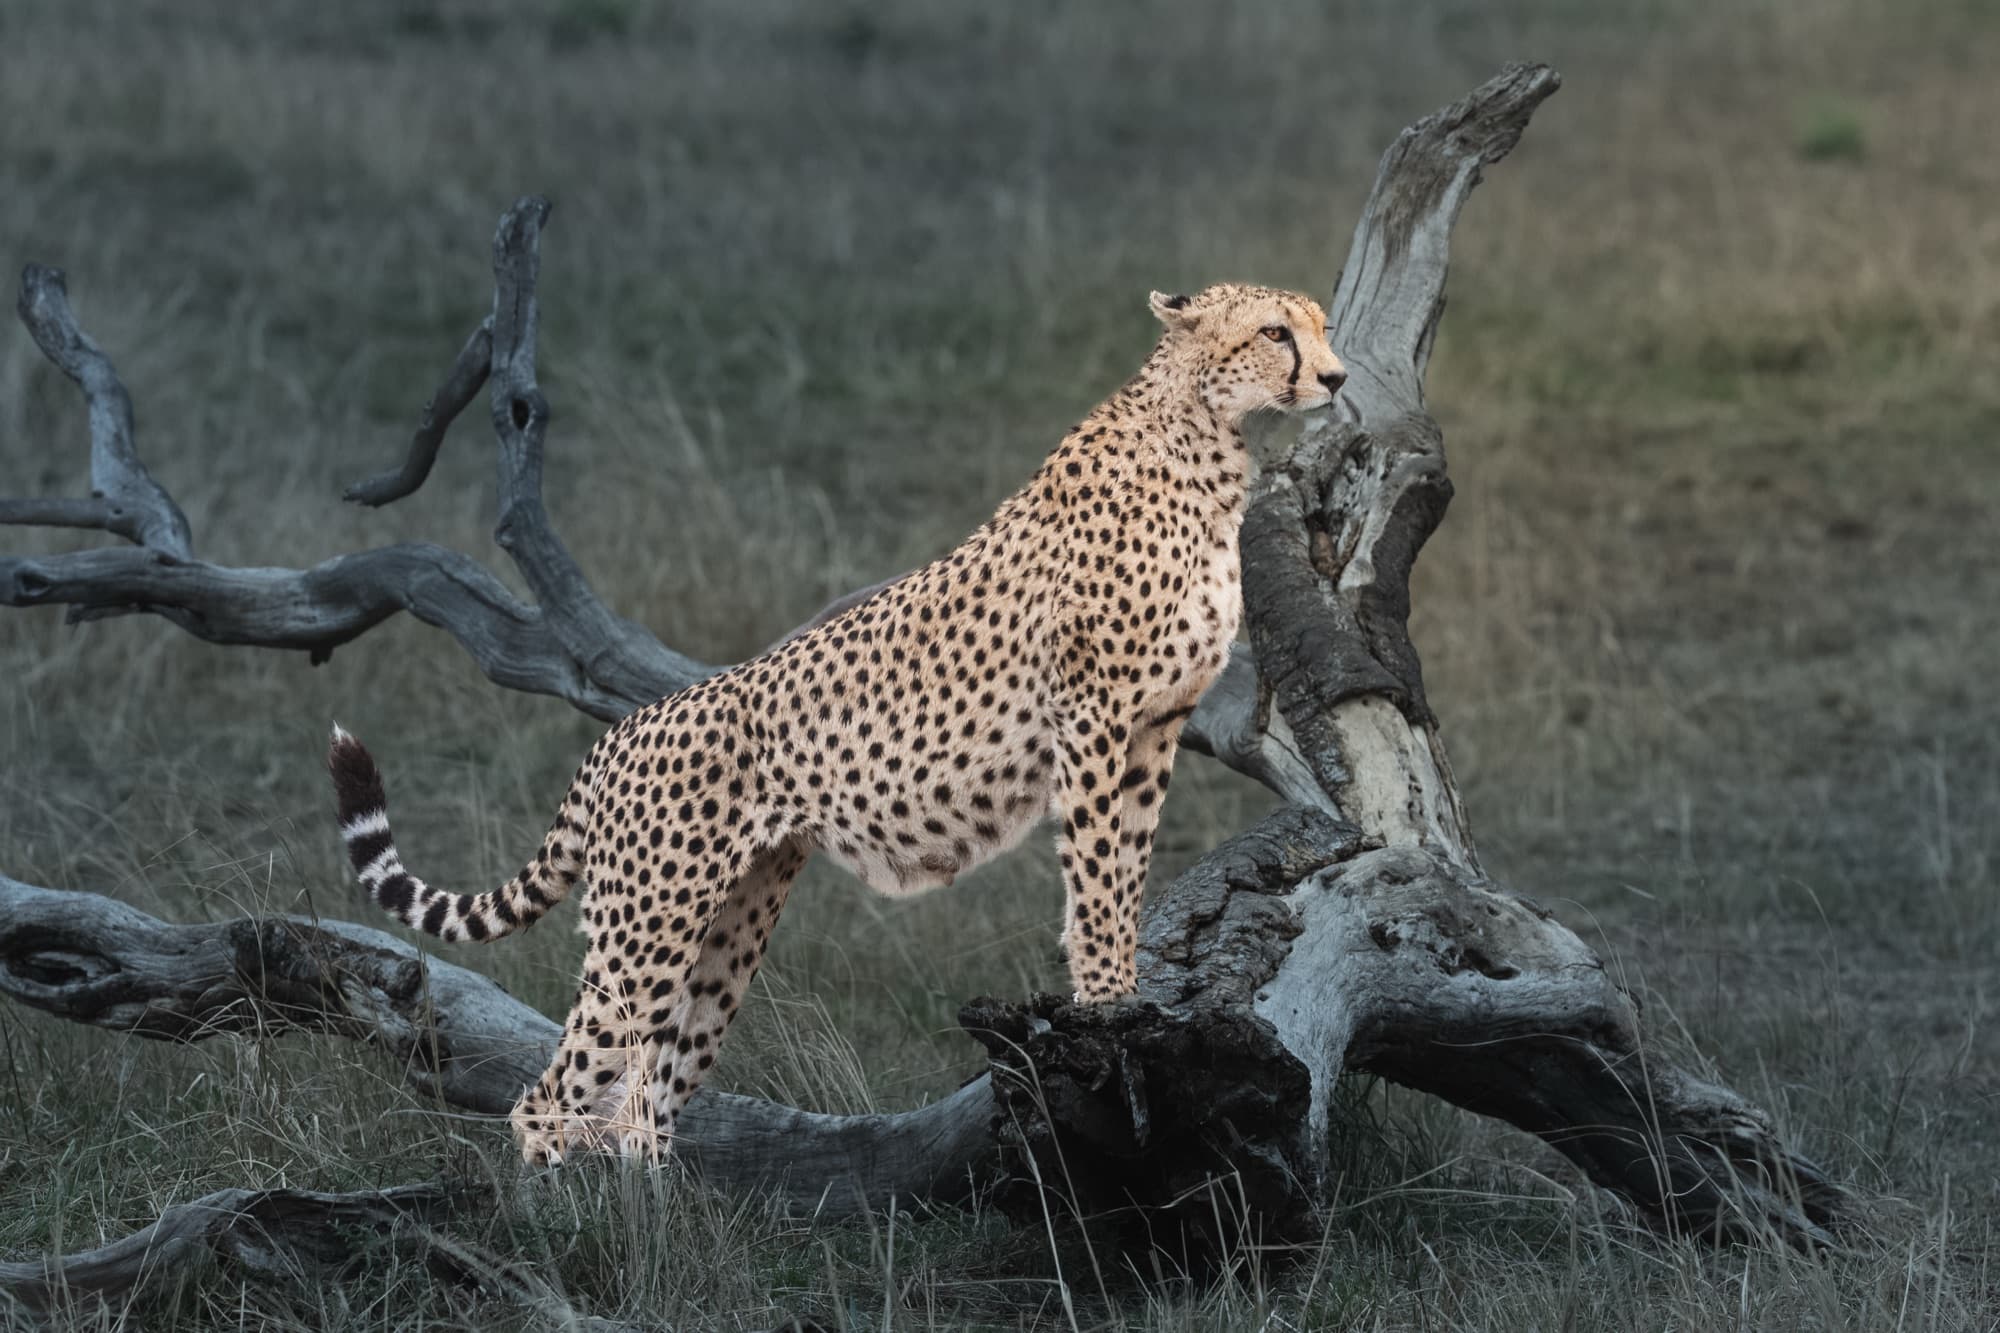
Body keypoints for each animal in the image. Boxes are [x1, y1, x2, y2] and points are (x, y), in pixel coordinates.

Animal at [327, 282, 1348, 1165]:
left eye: (1322, 326)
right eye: (1274, 332)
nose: (1338, 379)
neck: (1212, 442)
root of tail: (620, 733)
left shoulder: (1153, 728)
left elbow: (1127, 866)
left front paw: (1130, 998)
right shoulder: (1095, 718)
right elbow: (1097, 877)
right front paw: (1103, 1008)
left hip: (726, 927)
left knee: (646, 1097)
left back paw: (671, 1235)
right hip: (644, 928)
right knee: (554, 1094)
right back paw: (579, 1235)